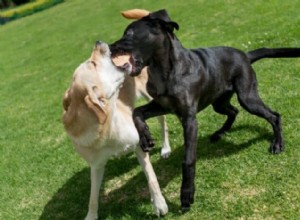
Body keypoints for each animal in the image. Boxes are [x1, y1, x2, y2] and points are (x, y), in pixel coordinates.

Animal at [109, 9, 300, 211]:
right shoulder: (162, 105)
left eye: (129, 33)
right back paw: (219, 133)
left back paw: (277, 144)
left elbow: (188, 159)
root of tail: (245, 55)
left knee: (274, 115)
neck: (165, 71)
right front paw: (145, 137)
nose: (109, 48)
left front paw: (186, 194)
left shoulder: (189, 119)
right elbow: (136, 112)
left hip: (247, 97)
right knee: (234, 112)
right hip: (219, 102)